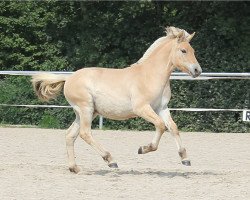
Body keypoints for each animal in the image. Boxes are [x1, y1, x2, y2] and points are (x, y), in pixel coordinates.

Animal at [32, 27, 202, 173]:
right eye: (183, 50)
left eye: (193, 50)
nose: (197, 70)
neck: (150, 75)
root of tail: (69, 78)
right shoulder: (142, 108)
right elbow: (161, 126)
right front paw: (143, 149)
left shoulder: (162, 108)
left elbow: (173, 127)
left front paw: (185, 158)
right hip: (86, 109)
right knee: (85, 133)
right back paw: (110, 160)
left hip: (86, 112)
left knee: (70, 135)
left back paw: (75, 168)